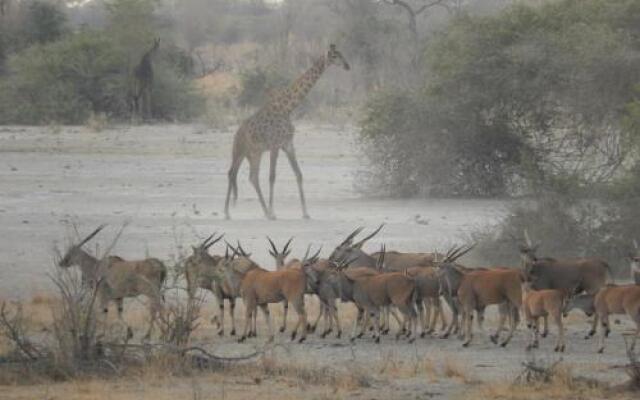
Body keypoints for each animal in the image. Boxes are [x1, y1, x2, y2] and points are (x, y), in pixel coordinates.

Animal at [222, 44, 348, 220]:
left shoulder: (288, 144)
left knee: (252, 177)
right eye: (335, 55)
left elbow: (299, 174)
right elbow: (272, 177)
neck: (287, 108)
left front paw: (305, 213)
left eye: (341, 54)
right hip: (239, 151)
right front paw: (274, 212)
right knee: (232, 173)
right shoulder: (275, 145)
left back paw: (264, 212)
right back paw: (228, 212)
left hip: (255, 153)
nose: (347, 66)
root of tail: (237, 134)